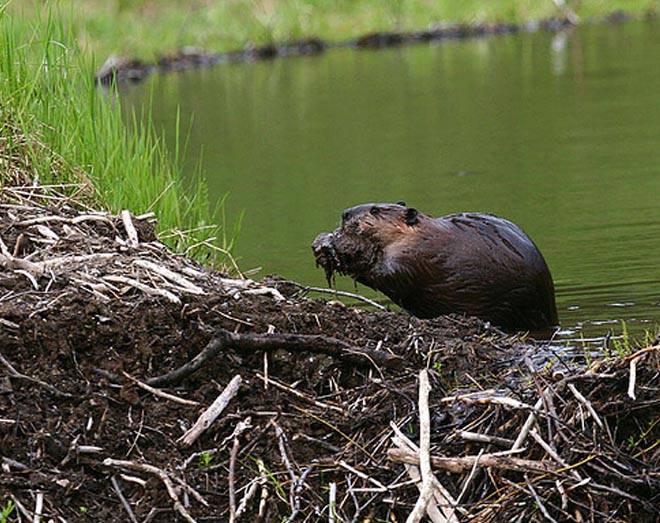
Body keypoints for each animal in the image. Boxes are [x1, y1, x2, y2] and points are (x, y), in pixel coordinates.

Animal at [312, 203, 560, 334]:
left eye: (375, 210)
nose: (345, 213)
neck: (425, 234)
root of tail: (552, 316)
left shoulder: (414, 256)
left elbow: (390, 276)